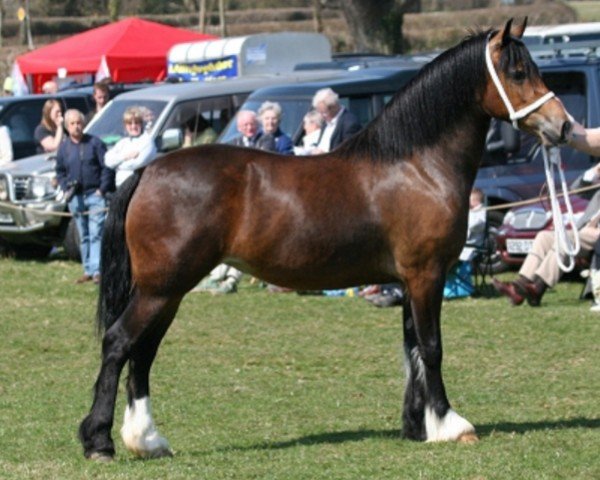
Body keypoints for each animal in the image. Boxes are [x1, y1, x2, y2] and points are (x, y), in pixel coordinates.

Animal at [78, 19, 572, 462]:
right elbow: (431, 348)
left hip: (169, 291)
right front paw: (450, 424)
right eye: (518, 72)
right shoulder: (426, 275)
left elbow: (412, 348)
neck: (416, 165)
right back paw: (100, 442)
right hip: (161, 289)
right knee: (120, 344)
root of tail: (147, 171)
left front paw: (417, 426)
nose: (564, 127)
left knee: (142, 354)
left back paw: (147, 440)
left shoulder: (408, 280)